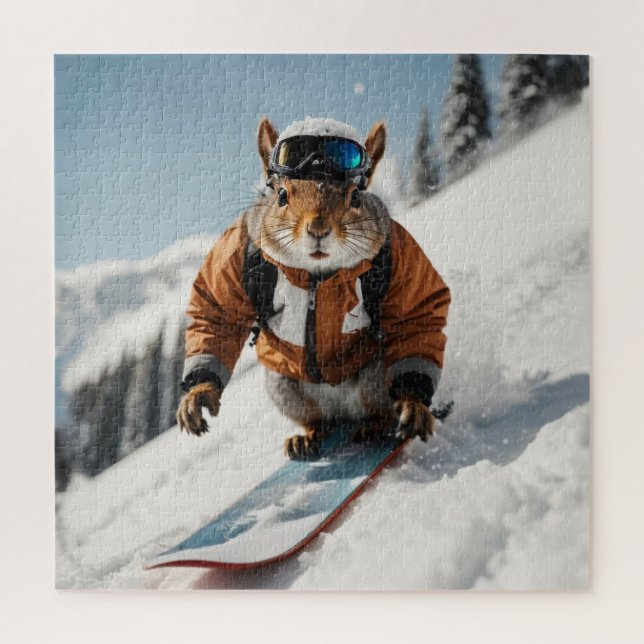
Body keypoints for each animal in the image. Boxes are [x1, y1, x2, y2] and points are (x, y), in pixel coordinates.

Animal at [176, 116, 451, 459]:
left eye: (355, 198)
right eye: (282, 195)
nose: (318, 229)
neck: (315, 276)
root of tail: (343, 411)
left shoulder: (398, 247)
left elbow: (417, 311)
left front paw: (414, 405)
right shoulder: (238, 243)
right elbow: (217, 310)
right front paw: (199, 394)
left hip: (376, 375)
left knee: (380, 409)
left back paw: (376, 426)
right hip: (285, 389)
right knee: (319, 421)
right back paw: (307, 438)